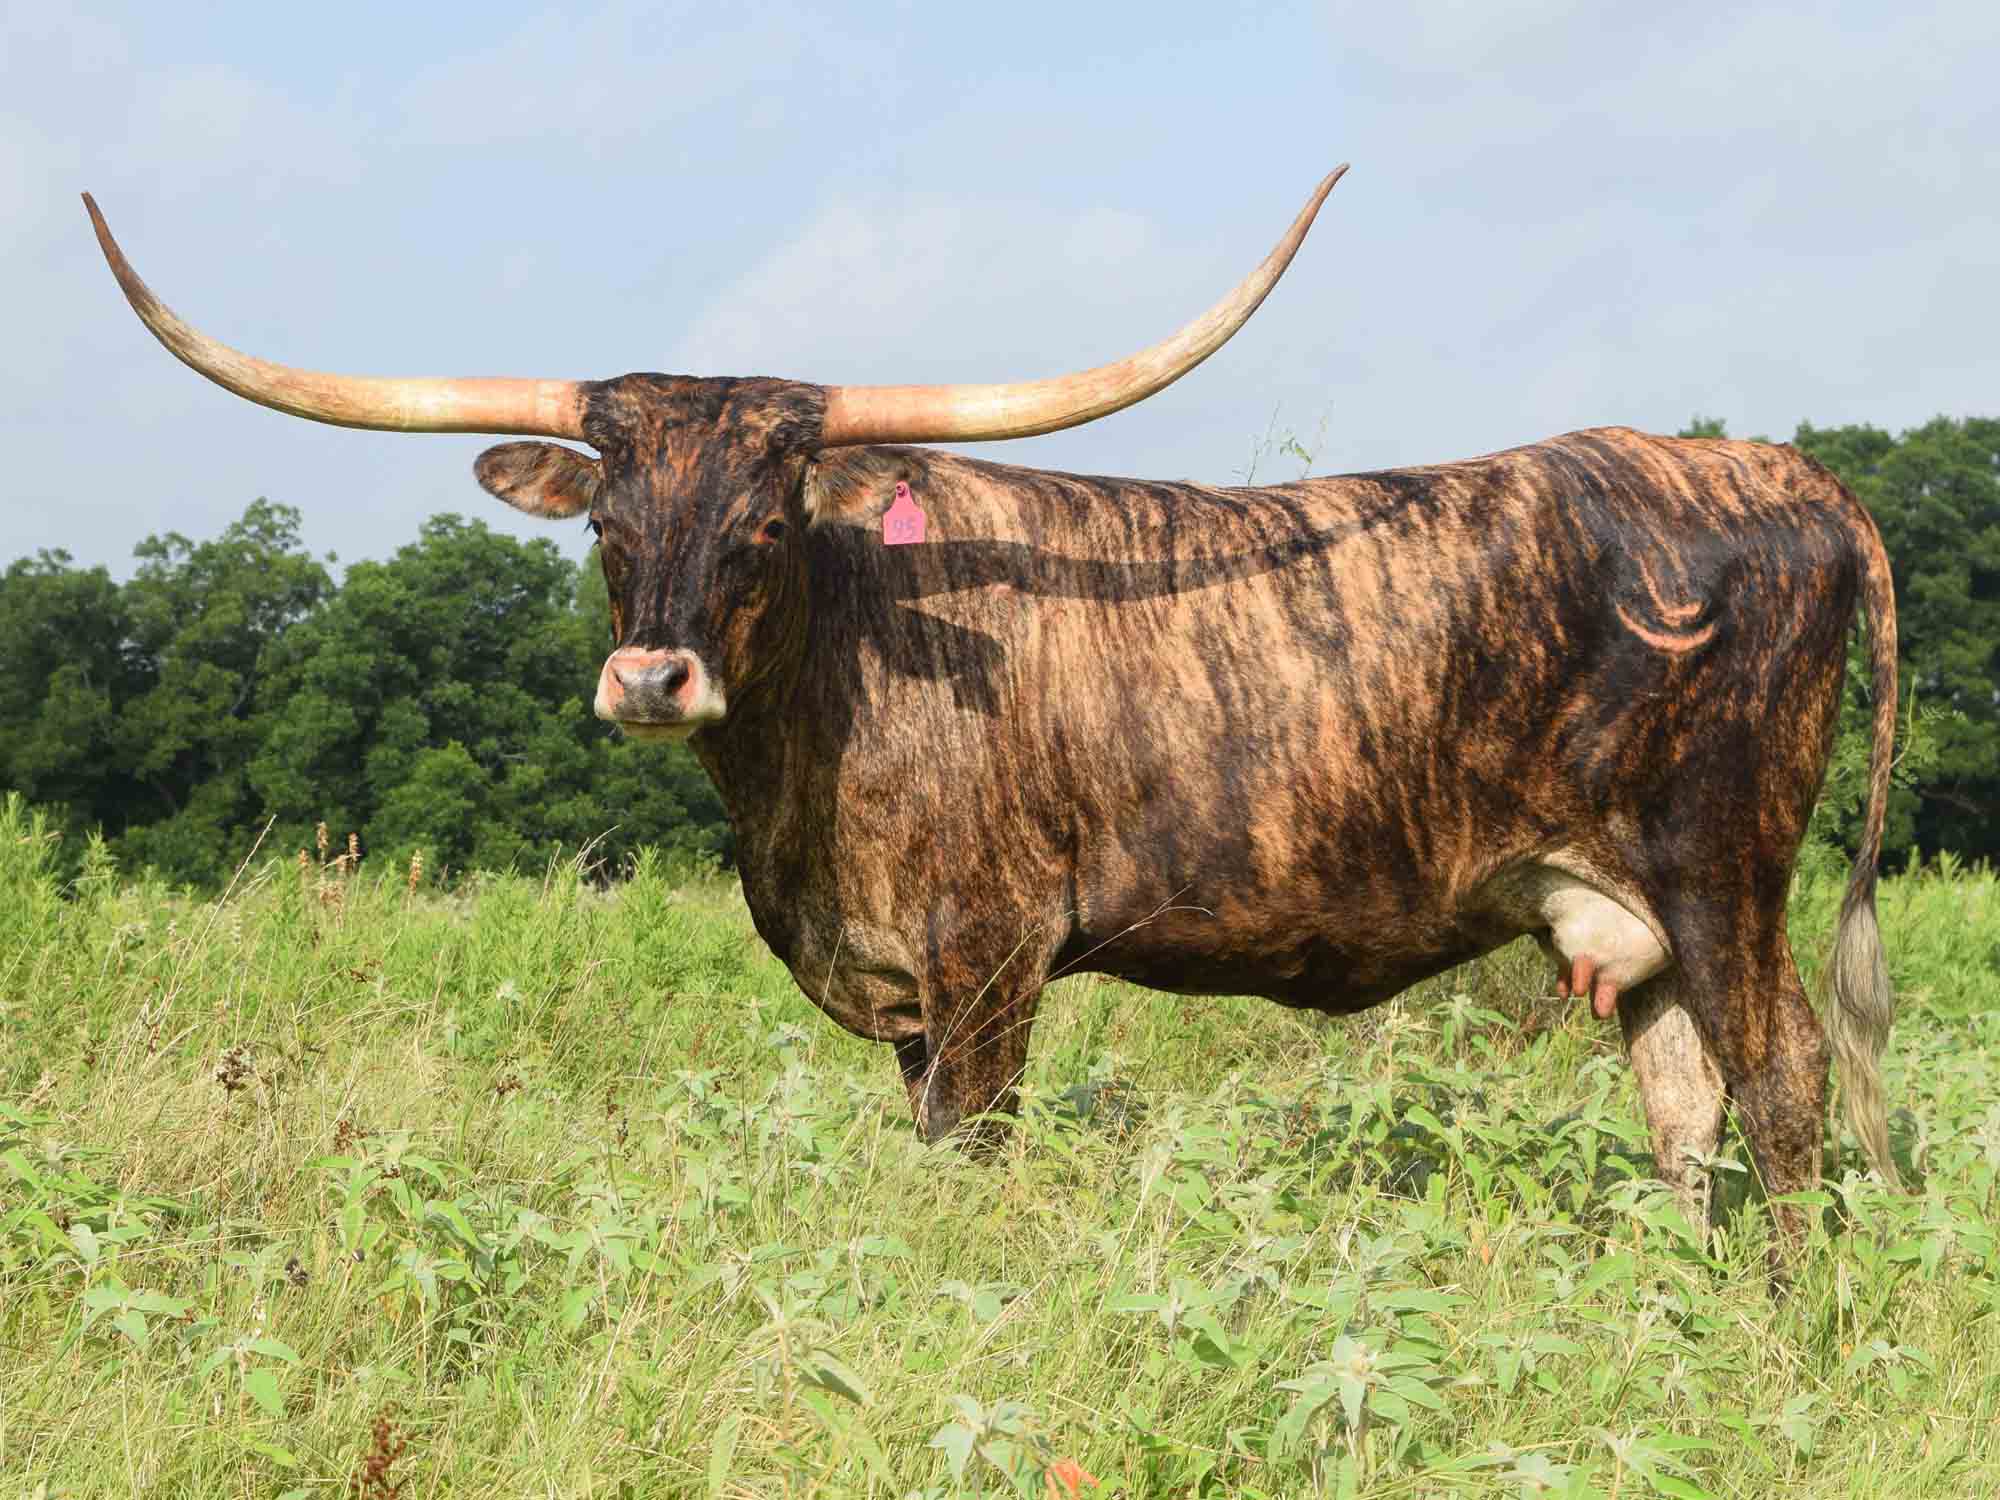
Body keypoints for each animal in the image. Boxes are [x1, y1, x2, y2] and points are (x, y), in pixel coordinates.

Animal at [84, 168, 1899, 1253]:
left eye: (765, 520)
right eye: (606, 523)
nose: (653, 676)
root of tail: (1776, 472)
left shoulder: (991, 957)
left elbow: (973, 1151)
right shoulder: (903, 988)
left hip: (1726, 866)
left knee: (1786, 1075)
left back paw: (1788, 1320)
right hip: (1622, 912)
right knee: (1685, 1102)